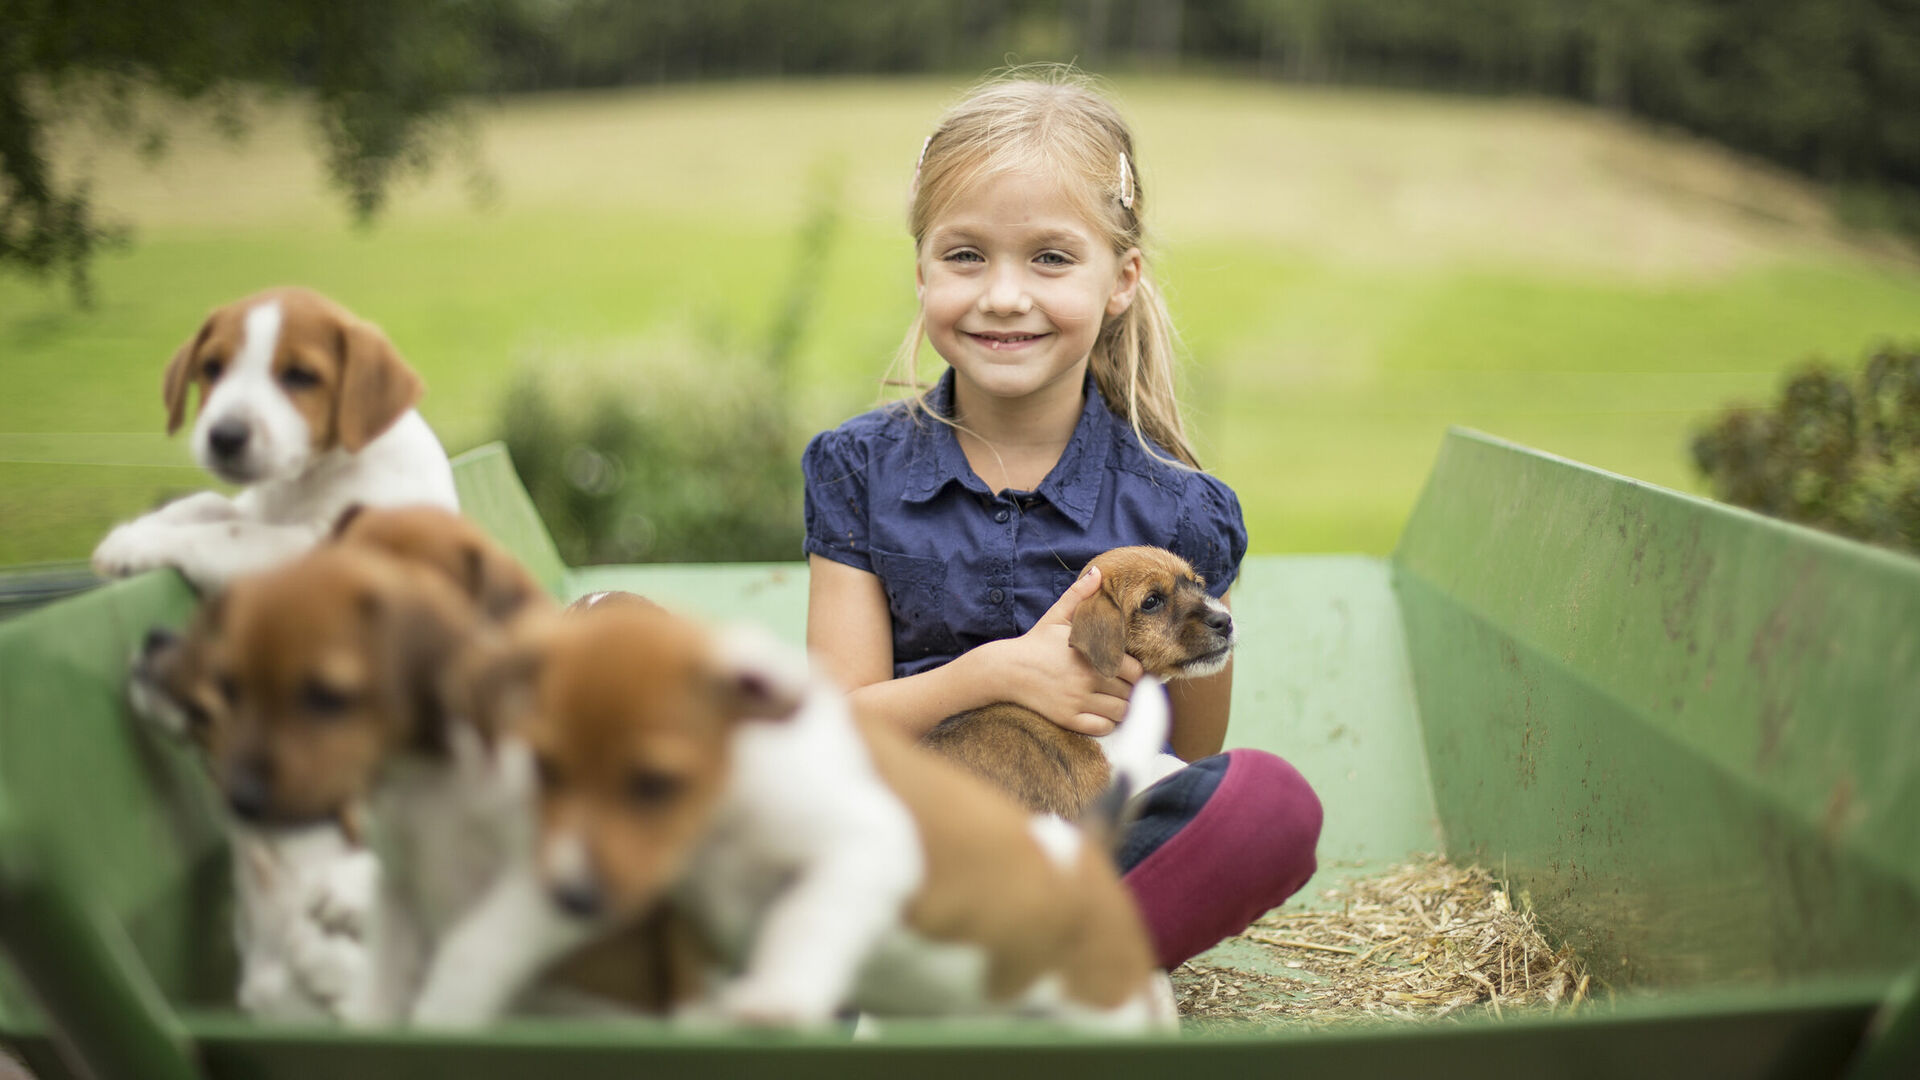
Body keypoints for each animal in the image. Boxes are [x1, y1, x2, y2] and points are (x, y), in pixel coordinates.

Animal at [94, 286, 460, 588]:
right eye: (212, 367)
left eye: (301, 375)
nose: (225, 436)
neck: (302, 480)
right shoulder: (257, 510)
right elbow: (207, 503)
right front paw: (137, 528)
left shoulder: (318, 545)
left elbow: (228, 533)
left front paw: (136, 544)